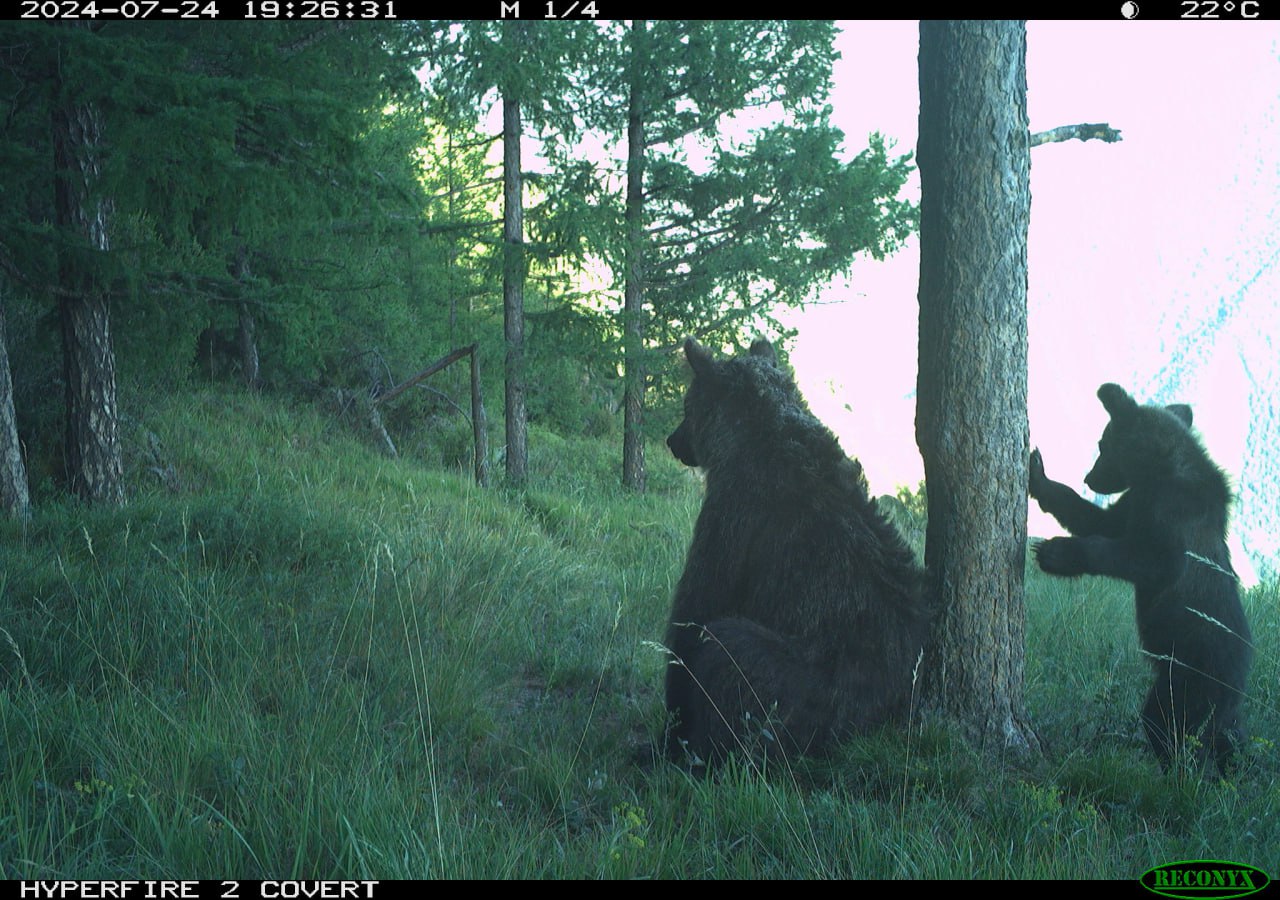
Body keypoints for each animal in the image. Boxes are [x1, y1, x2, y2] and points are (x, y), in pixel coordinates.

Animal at [1029, 384, 1249, 773]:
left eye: (1103, 444)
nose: (1088, 477)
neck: (1157, 473)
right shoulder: (1134, 504)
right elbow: (1096, 519)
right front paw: (1040, 475)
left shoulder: (1172, 517)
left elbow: (1146, 559)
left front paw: (1054, 552)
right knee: (1224, 733)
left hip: (1193, 673)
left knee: (1172, 722)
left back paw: (1180, 770)